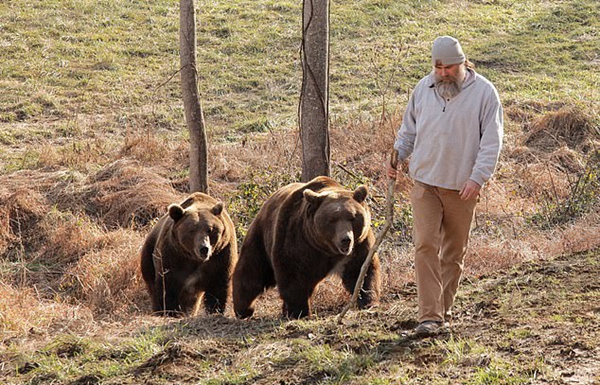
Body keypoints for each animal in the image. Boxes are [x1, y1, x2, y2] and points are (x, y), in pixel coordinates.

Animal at [233, 176, 380, 316]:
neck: (327, 248)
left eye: (353, 217)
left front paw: (368, 301)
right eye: (332, 220)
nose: (346, 239)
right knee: (252, 269)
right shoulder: (297, 240)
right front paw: (299, 311)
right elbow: (293, 275)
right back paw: (243, 309)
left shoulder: (359, 244)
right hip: (262, 235)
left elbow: (362, 271)